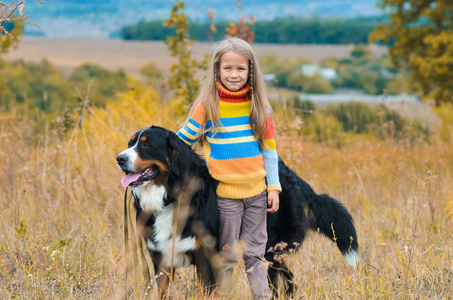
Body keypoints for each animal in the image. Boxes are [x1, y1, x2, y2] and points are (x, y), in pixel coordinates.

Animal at [117, 125, 360, 298]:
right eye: (130, 143)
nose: (119, 158)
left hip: (271, 247)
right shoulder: (161, 260)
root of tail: (293, 177)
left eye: (146, 145)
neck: (171, 196)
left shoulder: (206, 257)